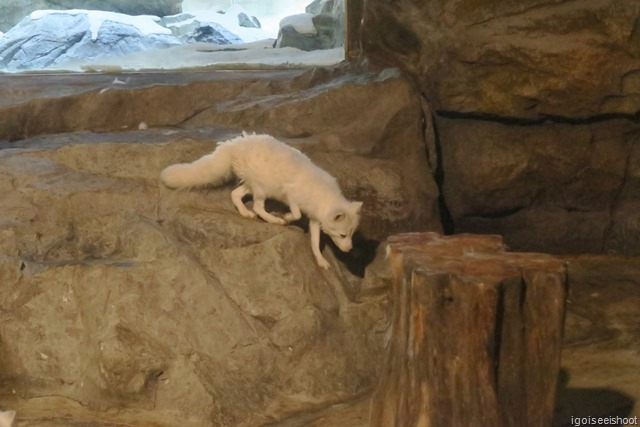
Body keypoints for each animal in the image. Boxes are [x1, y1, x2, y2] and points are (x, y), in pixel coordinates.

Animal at [160, 132, 360, 270]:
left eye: (351, 234)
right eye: (343, 235)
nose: (350, 249)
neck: (324, 197)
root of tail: (235, 143)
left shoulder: (315, 219)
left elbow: (315, 242)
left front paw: (320, 260)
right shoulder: (291, 195)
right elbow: (296, 214)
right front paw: (286, 216)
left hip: (252, 185)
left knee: (235, 195)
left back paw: (245, 213)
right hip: (262, 189)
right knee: (257, 207)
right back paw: (275, 219)